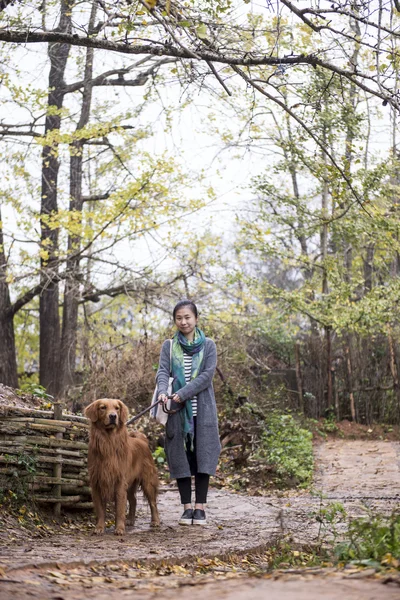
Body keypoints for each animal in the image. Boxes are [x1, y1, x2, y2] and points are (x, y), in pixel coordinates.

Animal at [84, 398, 159, 536]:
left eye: (117, 408)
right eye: (103, 407)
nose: (113, 416)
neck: (108, 442)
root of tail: (142, 440)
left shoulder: (119, 482)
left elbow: (119, 509)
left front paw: (119, 528)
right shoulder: (97, 482)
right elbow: (100, 510)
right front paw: (100, 527)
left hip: (147, 481)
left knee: (153, 502)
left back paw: (155, 521)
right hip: (130, 484)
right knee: (133, 500)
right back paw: (130, 520)